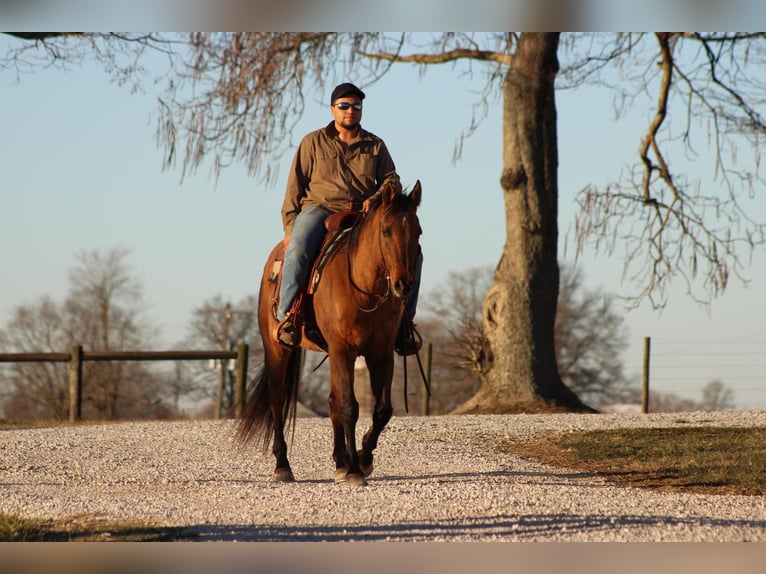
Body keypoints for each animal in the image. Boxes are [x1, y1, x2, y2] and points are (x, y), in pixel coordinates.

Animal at [237, 180, 424, 486]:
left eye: (418, 231)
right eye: (386, 230)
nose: (403, 286)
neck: (364, 289)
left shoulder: (381, 354)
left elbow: (381, 409)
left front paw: (362, 458)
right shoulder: (343, 350)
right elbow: (349, 407)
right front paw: (355, 471)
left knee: (332, 400)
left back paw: (340, 461)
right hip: (278, 349)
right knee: (277, 399)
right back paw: (283, 465)